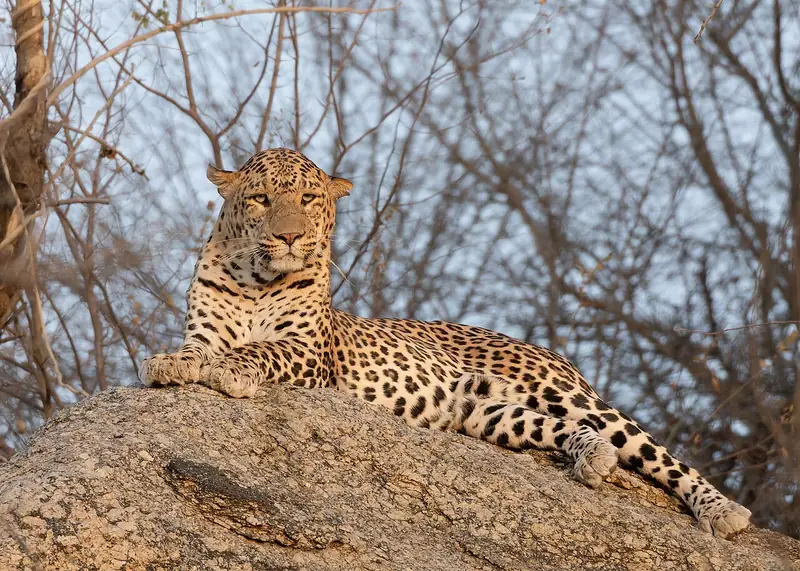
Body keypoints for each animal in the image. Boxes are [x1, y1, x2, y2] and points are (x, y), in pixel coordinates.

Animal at [139, 147, 752, 539]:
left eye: (310, 199)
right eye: (262, 199)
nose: (289, 236)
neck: (255, 279)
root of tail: (548, 351)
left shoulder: (309, 354)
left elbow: (257, 350)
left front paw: (230, 369)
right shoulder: (204, 329)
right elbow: (197, 349)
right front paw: (170, 363)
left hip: (566, 394)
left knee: (659, 454)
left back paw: (722, 511)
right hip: (486, 413)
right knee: (564, 432)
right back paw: (591, 459)